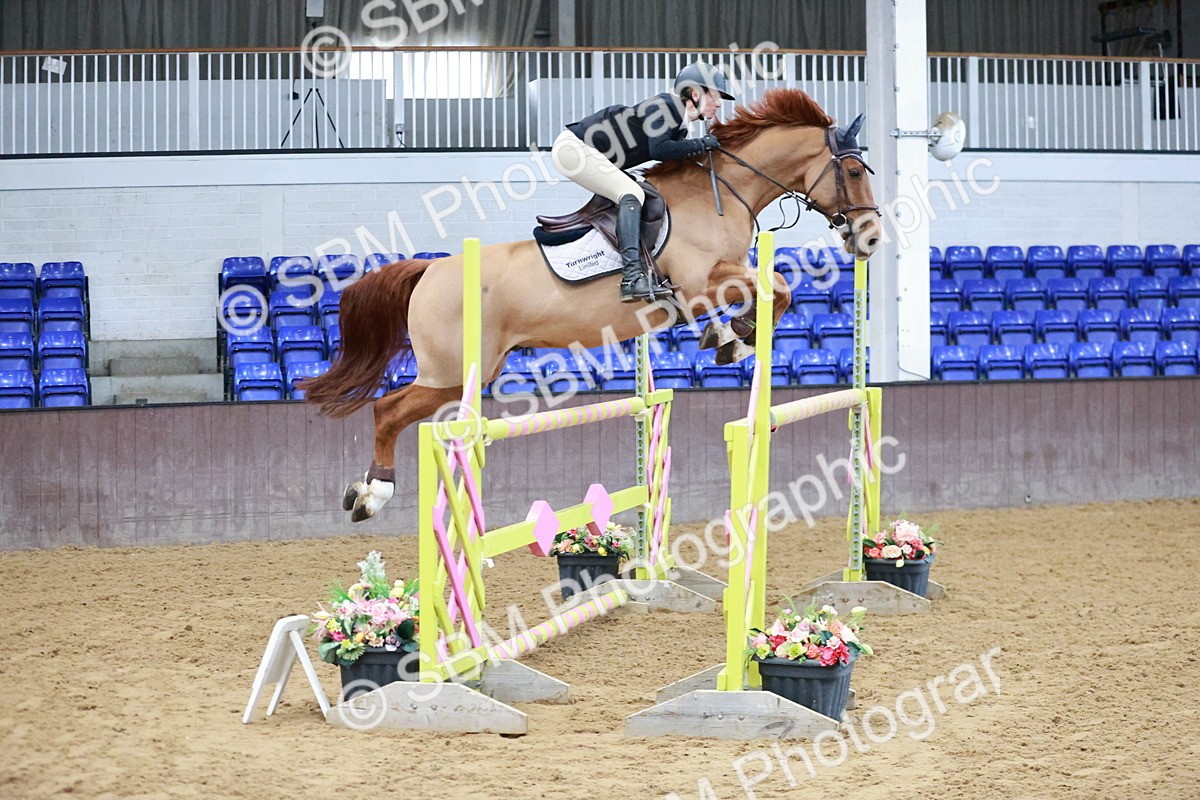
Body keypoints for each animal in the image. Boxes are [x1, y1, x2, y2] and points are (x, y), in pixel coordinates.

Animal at [302, 88, 882, 522]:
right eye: (854, 173)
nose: (871, 238)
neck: (721, 194)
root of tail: (431, 269)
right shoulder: (702, 282)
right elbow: (778, 288)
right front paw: (738, 337)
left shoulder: (706, 287)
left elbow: (768, 292)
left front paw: (724, 339)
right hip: (452, 371)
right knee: (387, 409)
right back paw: (373, 495)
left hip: (464, 372)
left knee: (392, 410)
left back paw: (363, 491)